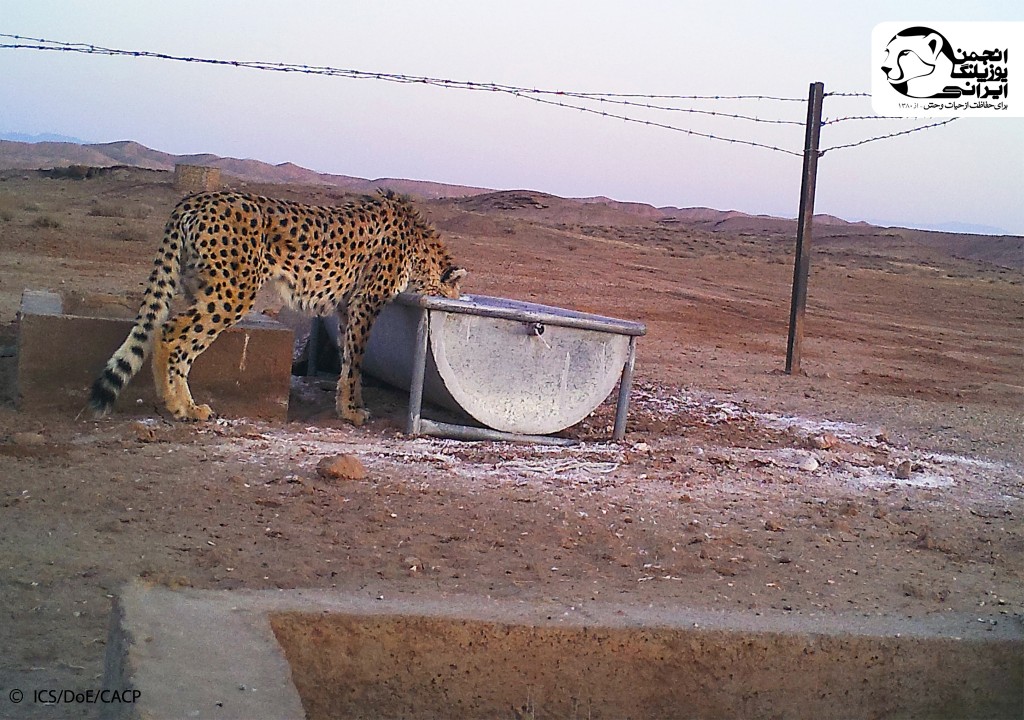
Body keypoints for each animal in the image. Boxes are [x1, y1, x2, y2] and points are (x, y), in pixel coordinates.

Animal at [90, 190, 466, 421]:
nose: (453, 306)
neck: (419, 244)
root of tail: (197, 197)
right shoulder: (365, 302)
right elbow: (356, 360)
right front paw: (351, 412)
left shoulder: (347, 308)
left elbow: (350, 360)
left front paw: (351, 403)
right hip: (232, 292)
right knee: (171, 332)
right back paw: (180, 407)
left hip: (201, 287)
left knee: (173, 335)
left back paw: (179, 401)